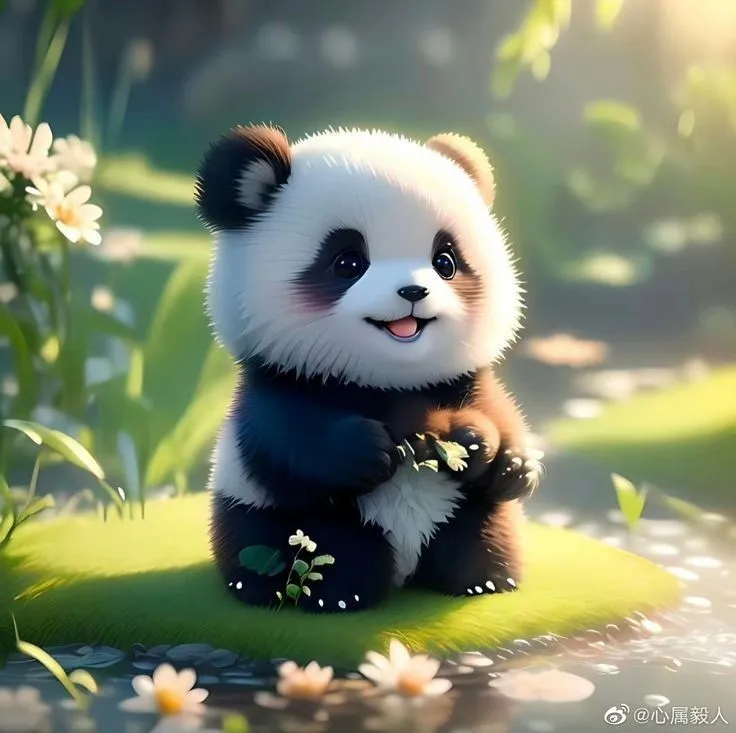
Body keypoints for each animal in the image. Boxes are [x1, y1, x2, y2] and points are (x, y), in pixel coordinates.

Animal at [195, 124, 541, 614]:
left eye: (445, 261)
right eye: (348, 262)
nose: (413, 291)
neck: (387, 383)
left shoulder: (462, 380)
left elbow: (500, 410)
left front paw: (485, 449)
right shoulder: (280, 381)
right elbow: (285, 438)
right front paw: (369, 451)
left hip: (468, 513)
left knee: (479, 533)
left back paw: (483, 580)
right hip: (289, 519)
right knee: (313, 549)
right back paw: (339, 595)